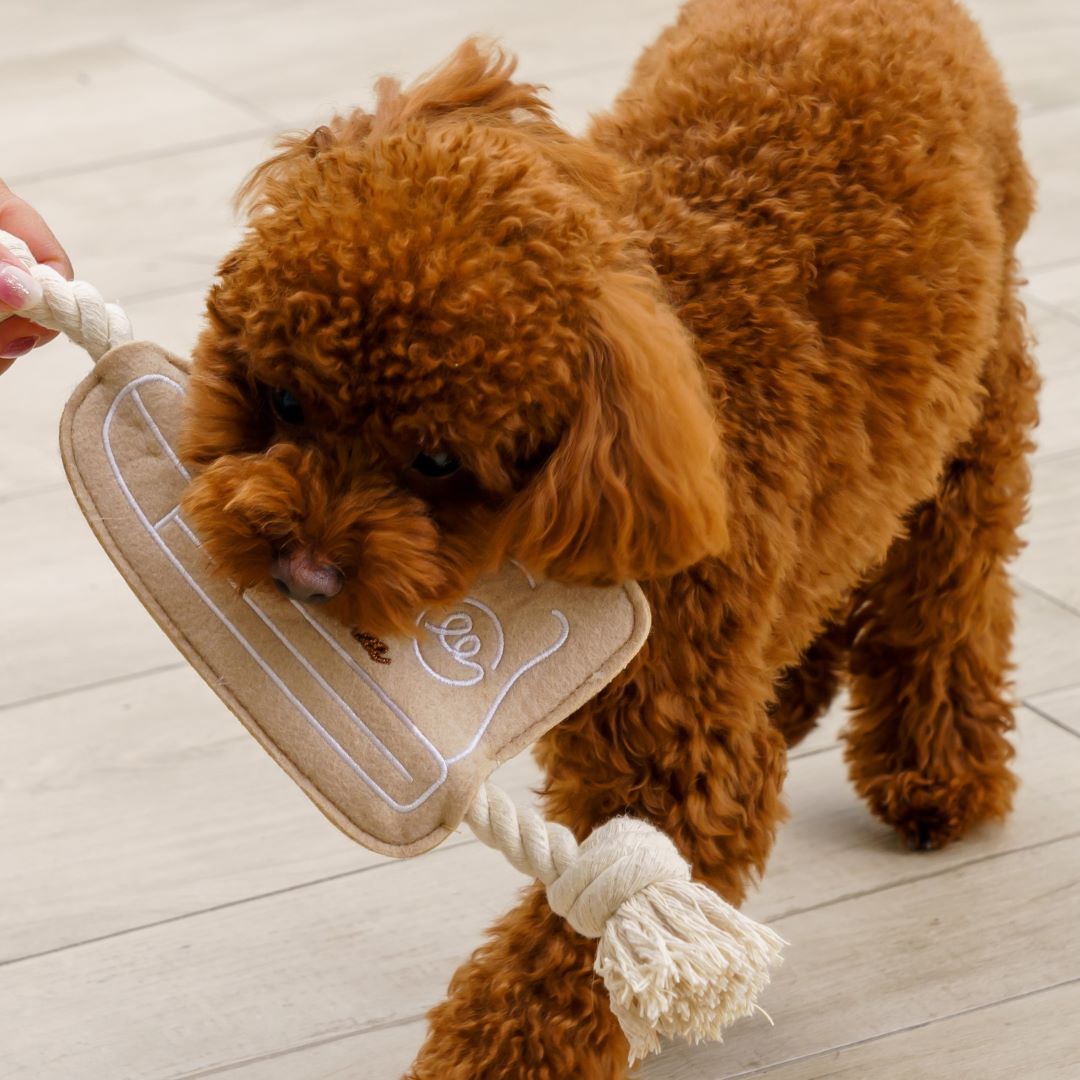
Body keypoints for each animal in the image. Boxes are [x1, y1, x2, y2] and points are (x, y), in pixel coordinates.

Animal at [177, 0, 1036, 1071]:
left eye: (439, 461)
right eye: (287, 399)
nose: (303, 573)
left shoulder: (677, 769)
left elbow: (564, 968)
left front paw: (482, 1061)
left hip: (979, 419)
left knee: (948, 595)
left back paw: (935, 774)